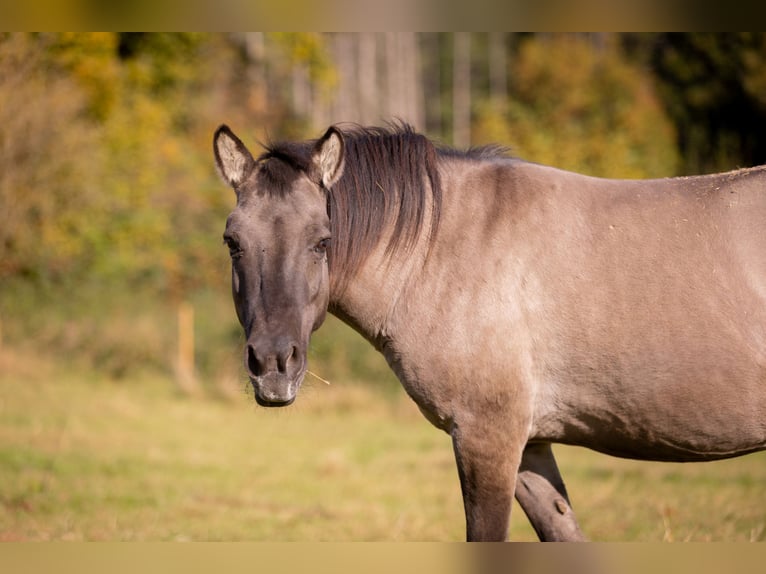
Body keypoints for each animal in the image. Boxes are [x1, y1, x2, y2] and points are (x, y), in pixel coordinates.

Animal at [213, 122, 766, 541]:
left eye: (322, 241)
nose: (273, 365)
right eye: (233, 242)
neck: (442, 249)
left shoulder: (486, 439)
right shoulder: (529, 447)